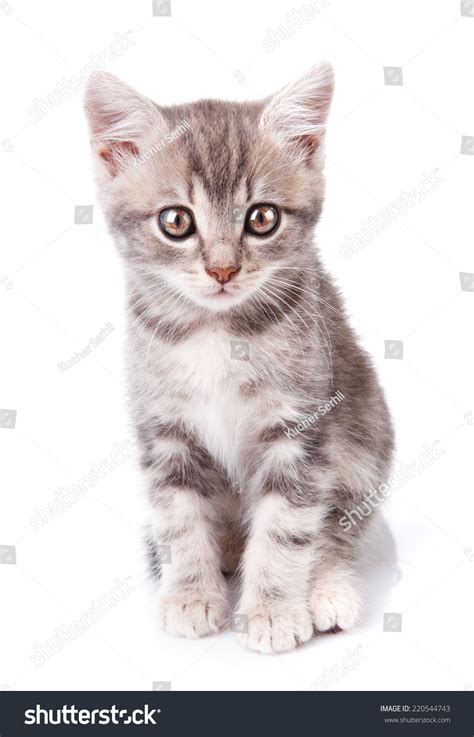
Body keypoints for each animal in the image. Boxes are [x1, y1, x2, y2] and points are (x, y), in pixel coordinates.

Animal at [84, 61, 392, 648]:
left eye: (262, 218)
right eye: (176, 221)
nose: (223, 269)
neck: (215, 330)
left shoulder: (301, 426)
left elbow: (288, 526)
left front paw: (273, 610)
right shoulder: (165, 429)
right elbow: (179, 518)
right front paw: (191, 596)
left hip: (367, 438)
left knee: (339, 526)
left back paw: (327, 589)